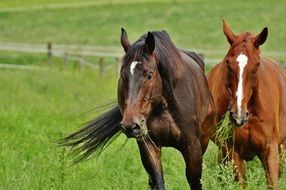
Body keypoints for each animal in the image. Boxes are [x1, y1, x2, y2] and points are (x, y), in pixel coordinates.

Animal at [61, 29, 216, 189]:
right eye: (122, 76)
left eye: (149, 75)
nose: (130, 125)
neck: (164, 107)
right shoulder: (148, 144)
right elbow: (158, 181)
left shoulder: (193, 147)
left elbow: (195, 181)